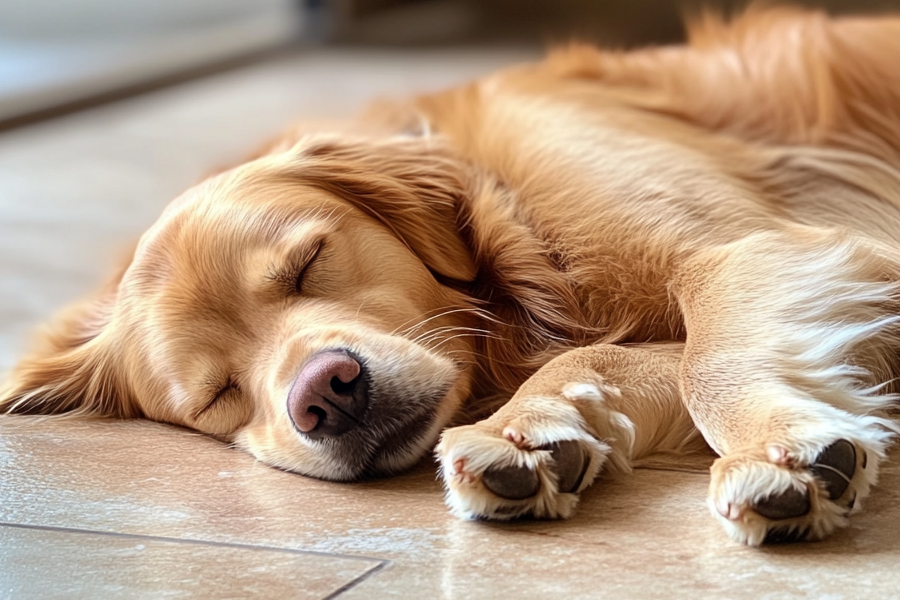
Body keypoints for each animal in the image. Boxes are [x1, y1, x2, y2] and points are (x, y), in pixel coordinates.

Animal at [1, 5, 900, 548]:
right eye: (215, 394)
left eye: (307, 263)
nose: (328, 394)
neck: (513, 238)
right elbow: (618, 360)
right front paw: (527, 434)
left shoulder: (743, 248)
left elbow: (708, 361)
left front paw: (778, 451)